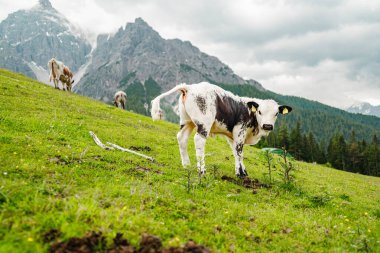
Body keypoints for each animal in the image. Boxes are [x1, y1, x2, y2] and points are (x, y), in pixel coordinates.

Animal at [150, 82, 292, 177]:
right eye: (260, 112)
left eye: (276, 114)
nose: (267, 126)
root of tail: (189, 87)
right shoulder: (240, 130)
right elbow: (239, 151)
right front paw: (239, 173)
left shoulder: (232, 136)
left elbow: (236, 152)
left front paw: (243, 171)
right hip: (204, 123)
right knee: (199, 140)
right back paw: (202, 170)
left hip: (186, 121)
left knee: (182, 138)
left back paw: (186, 165)